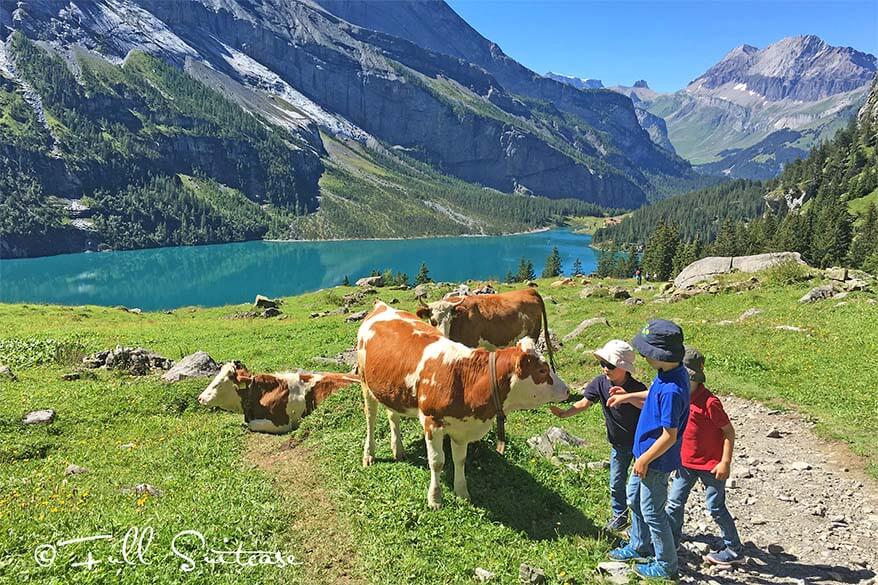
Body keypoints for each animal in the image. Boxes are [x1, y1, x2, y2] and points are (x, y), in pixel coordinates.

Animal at [358, 302, 572, 506]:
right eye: (542, 370)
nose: (567, 390)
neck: (464, 377)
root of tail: (382, 306)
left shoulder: (462, 426)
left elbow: (460, 460)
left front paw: (462, 492)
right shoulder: (431, 422)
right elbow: (437, 462)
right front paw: (435, 499)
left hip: (389, 388)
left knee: (393, 415)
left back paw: (398, 449)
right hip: (365, 382)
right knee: (370, 418)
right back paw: (369, 454)